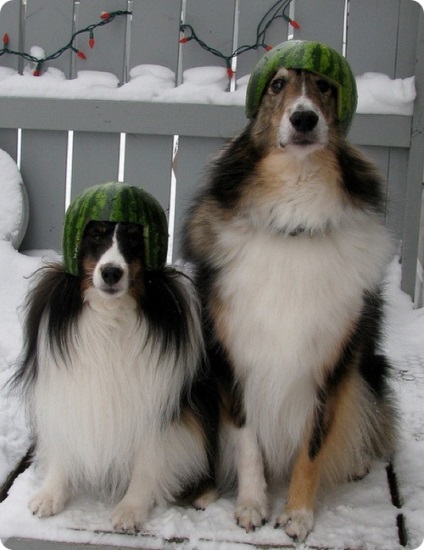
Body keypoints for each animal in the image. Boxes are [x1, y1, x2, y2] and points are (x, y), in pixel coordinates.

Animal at [183, 42, 398, 544]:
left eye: (324, 85)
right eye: (277, 84)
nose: (303, 119)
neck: (294, 218)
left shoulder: (333, 364)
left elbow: (313, 444)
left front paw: (298, 514)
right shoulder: (232, 357)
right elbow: (245, 438)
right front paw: (250, 505)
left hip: (371, 366)